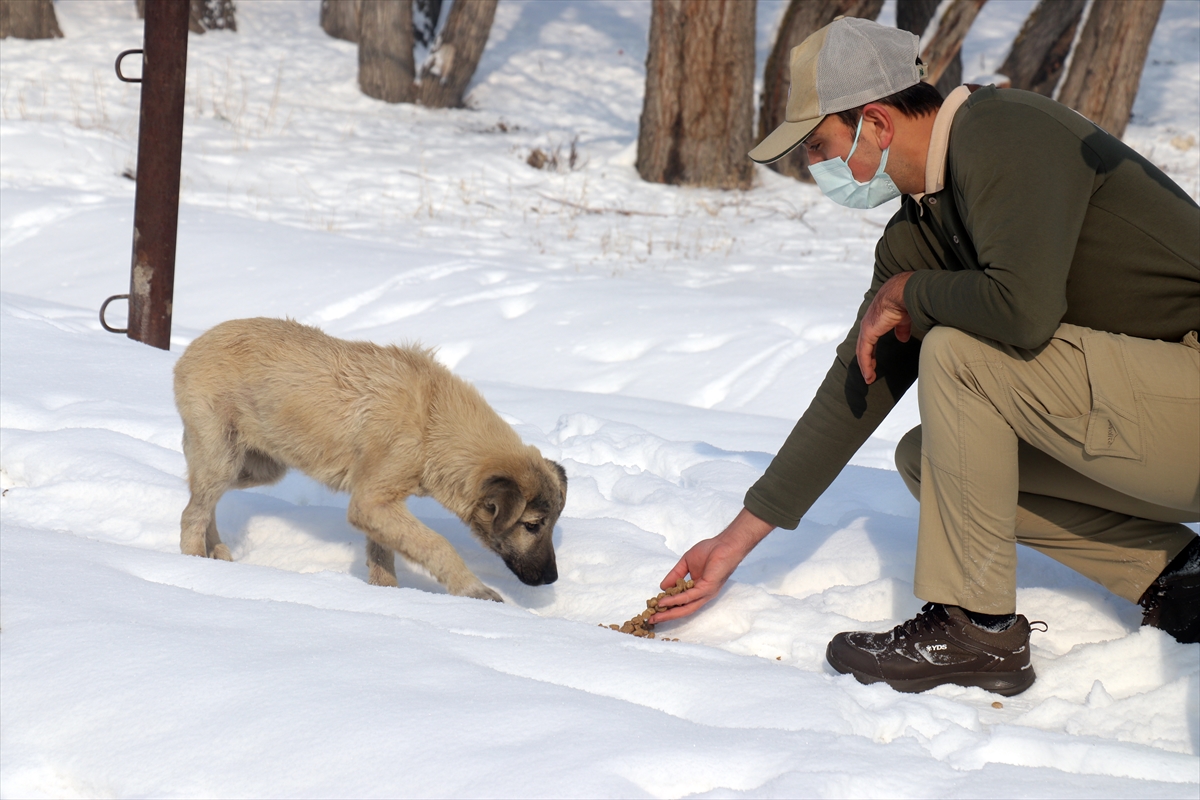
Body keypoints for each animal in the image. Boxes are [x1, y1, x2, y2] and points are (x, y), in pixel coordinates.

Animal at [171, 319, 564, 599]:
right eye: (533, 525)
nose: (551, 578)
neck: (432, 422)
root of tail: (189, 351)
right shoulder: (370, 501)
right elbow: (436, 544)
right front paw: (474, 589)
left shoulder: (381, 504)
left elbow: (383, 554)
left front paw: (386, 596)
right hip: (224, 456)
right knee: (192, 512)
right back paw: (195, 565)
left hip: (259, 466)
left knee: (200, 499)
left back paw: (217, 553)